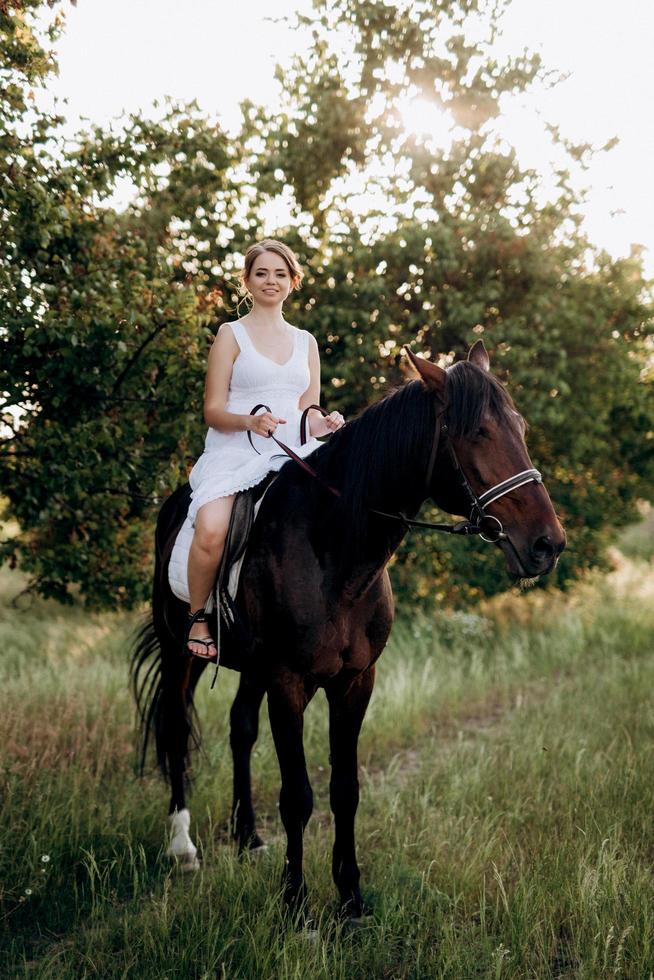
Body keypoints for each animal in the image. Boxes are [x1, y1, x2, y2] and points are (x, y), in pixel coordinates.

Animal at [131, 342, 568, 920]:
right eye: (478, 432)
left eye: (519, 427)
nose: (547, 544)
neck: (330, 548)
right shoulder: (289, 683)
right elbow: (297, 795)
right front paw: (296, 903)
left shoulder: (355, 682)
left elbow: (344, 790)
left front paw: (351, 899)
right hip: (182, 651)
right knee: (177, 729)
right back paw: (183, 848)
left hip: (252, 668)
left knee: (240, 729)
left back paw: (247, 836)